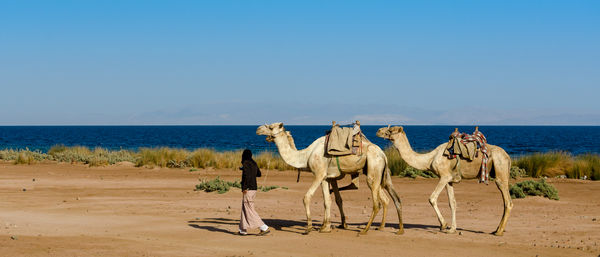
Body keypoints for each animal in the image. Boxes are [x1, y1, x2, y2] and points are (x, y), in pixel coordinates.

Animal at [255, 122, 406, 234]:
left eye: (270, 127)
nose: (257, 129)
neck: (306, 155)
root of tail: (383, 154)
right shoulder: (326, 177)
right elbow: (328, 200)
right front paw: (325, 227)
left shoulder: (319, 174)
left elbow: (307, 197)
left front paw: (309, 228)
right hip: (383, 175)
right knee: (393, 198)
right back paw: (396, 229)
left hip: (373, 171)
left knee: (377, 203)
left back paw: (365, 230)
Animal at [378, 125, 512, 235]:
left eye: (391, 130)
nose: (378, 131)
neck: (429, 159)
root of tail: (508, 157)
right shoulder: (449, 180)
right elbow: (452, 203)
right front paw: (452, 229)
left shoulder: (444, 176)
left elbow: (432, 198)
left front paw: (444, 224)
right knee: (505, 202)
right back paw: (496, 229)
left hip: (500, 172)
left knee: (508, 202)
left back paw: (499, 231)